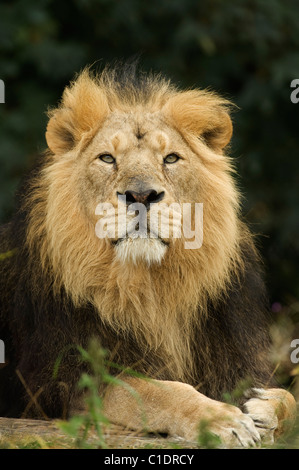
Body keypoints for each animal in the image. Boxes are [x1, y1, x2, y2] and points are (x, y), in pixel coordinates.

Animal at [0, 63, 296, 448]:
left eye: (170, 158)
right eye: (107, 158)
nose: (141, 195)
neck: (151, 293)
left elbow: (291, 400)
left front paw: (264, 409)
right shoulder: (68, 381)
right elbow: (159, 391)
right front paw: (221, 420)